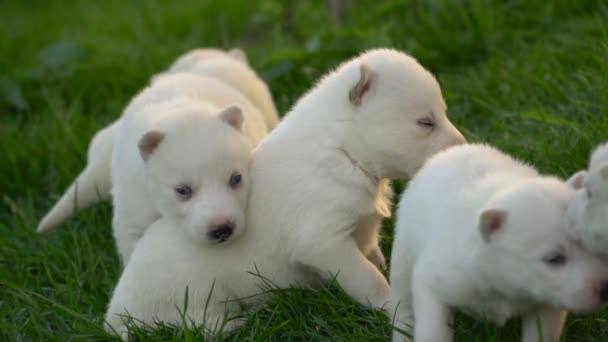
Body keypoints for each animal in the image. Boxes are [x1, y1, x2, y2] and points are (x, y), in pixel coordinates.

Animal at [388, 144, 608, 342]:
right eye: (554, 259)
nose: (605, 289)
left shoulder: (547, 304)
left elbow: (541, 333)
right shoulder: (436, 280)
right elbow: (432, 329)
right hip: (403, 252)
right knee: (402, 300)